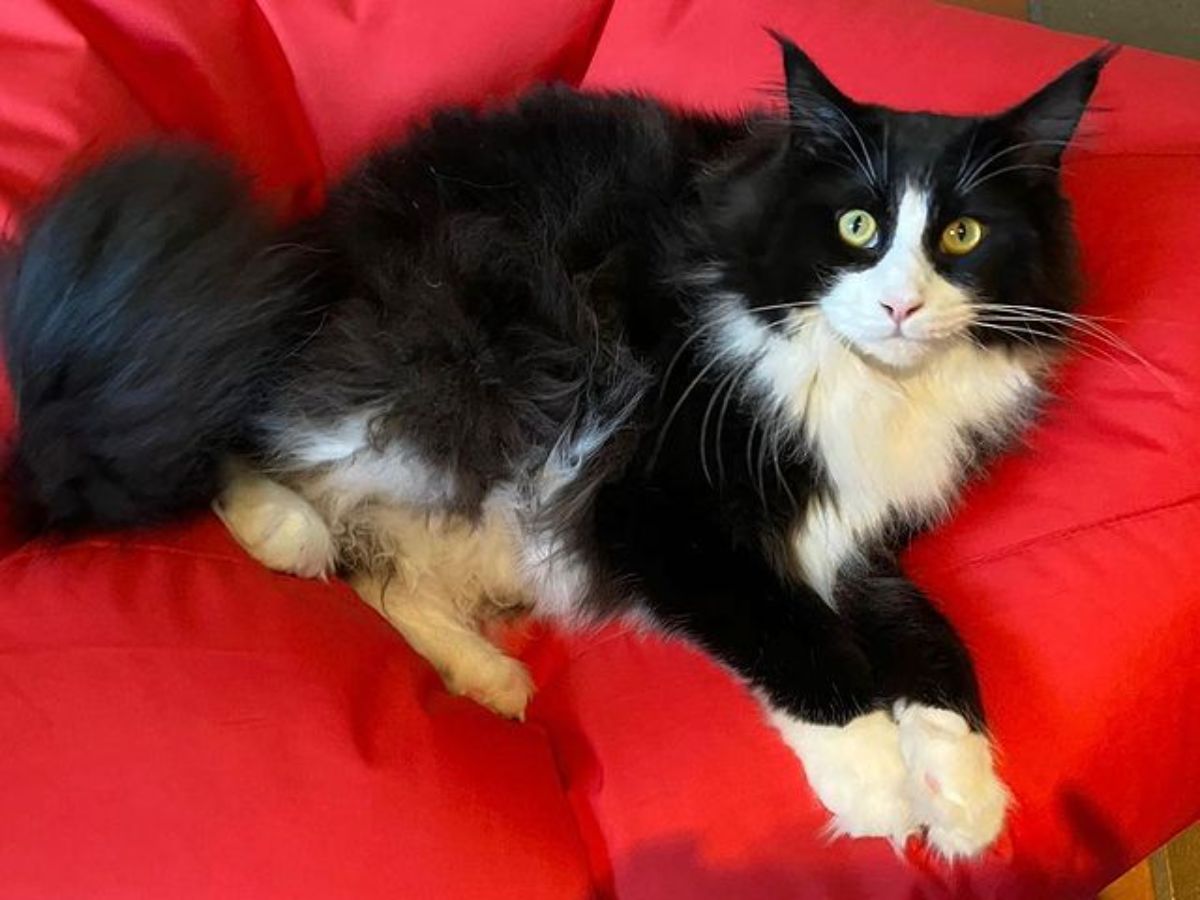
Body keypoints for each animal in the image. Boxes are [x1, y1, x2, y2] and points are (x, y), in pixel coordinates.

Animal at [0, 33, 1108, 859]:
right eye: (856, 227)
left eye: (961, 238)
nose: (900, 306)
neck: (871, 389)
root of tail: (294, 256)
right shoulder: (656, 503)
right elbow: (790, 633)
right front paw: (876, 781)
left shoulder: (854, 536)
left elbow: (934, 646)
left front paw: (962, 789)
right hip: (454, 372)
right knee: (240, 446)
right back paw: (284, 531)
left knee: (382, 564)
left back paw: (487, 675)